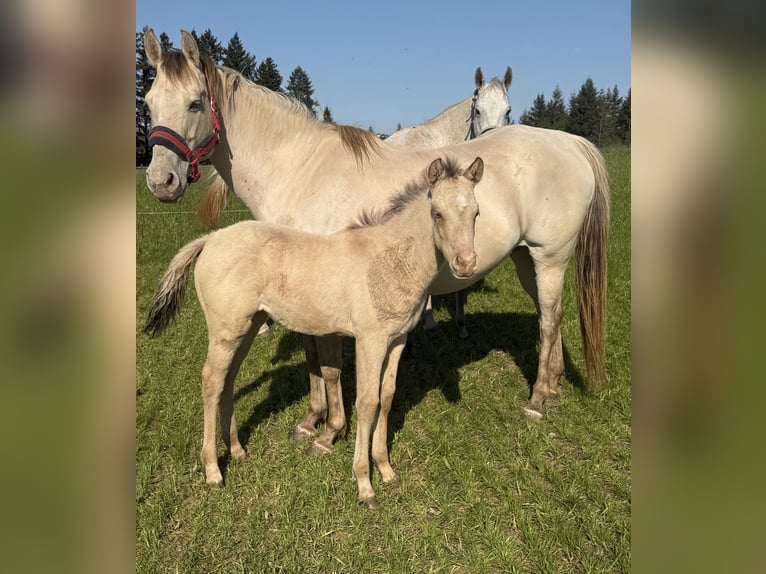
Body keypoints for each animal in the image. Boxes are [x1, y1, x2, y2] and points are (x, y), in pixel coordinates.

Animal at [144, 156, 484, 508]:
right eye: (437, 214)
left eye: (476, 213)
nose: (466, 265)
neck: (389, 258)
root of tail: (210, 239)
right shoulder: (370, 340)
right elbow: (367, 402)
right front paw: (364, 484)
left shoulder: (397, 340)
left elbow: (387, 397)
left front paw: (386, 469)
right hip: (225, 331)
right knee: (211, 382)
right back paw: (213, 470)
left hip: (247, 328)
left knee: (227, 379)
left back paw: (237, 451)